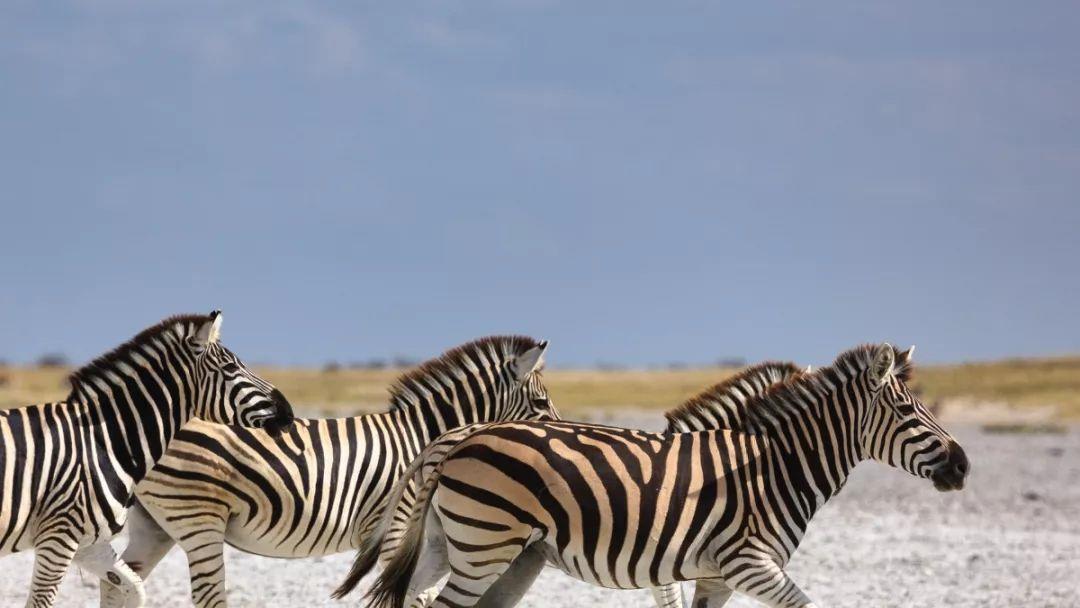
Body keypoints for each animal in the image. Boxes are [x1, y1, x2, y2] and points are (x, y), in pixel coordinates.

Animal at [0, 313, 295, 608]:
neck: (103, 442)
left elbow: (134, 588)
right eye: (231, 367)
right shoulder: (58, 536)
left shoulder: (88, 543)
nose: (289, 413)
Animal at [98, 334, 561, 604]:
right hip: (199, 518)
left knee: (117, 584)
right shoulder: (395, 527)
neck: (422, 436)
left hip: (154, 526)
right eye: (540, 404)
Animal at [339, 345, 972, 604]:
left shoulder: (714, 574)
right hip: (483, 545)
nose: (964, 466)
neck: (775, 467)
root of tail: (461, 437)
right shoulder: (748, 562)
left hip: (454, 546)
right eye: (909, 412)